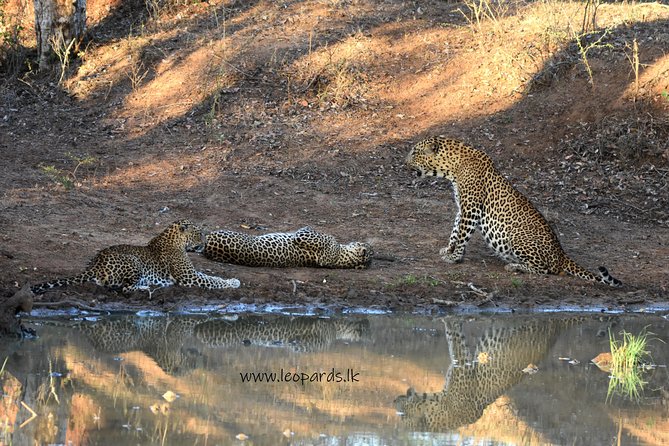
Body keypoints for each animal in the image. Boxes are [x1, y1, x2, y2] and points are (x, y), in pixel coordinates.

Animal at [31, 220, 240, 296]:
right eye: (199, 234)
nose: (205, 243)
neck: (176, 240)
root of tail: (95, 264)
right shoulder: (189, 277)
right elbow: (212, 281)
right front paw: (233, 282)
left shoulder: (193, 274)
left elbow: (212, 277)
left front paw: (231, 279)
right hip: (134, 261)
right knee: (124, 288)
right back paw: (147, 286)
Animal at [406, 136, 622, 287]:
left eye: (415, 152)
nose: (404, 162)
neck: (452, 167)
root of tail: (561, 254)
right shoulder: (463, 207)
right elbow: (455, 230)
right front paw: (449, 250)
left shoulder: (471, 208)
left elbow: (462, 234)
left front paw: (454, 257)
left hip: (518, 238)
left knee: (545, 270)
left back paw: (514, 266)